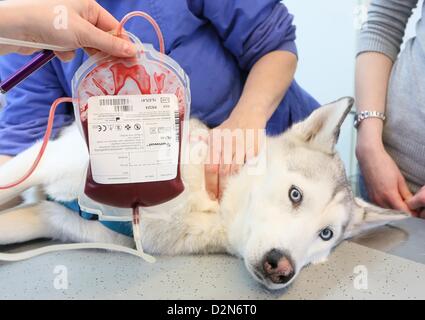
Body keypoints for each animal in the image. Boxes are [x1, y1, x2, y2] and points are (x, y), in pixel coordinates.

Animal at [0, 97, 406, 290]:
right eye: (295, 195)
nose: (282, 268)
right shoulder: (47, 163)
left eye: (325, 235)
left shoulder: (54, 219)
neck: (207, 204)